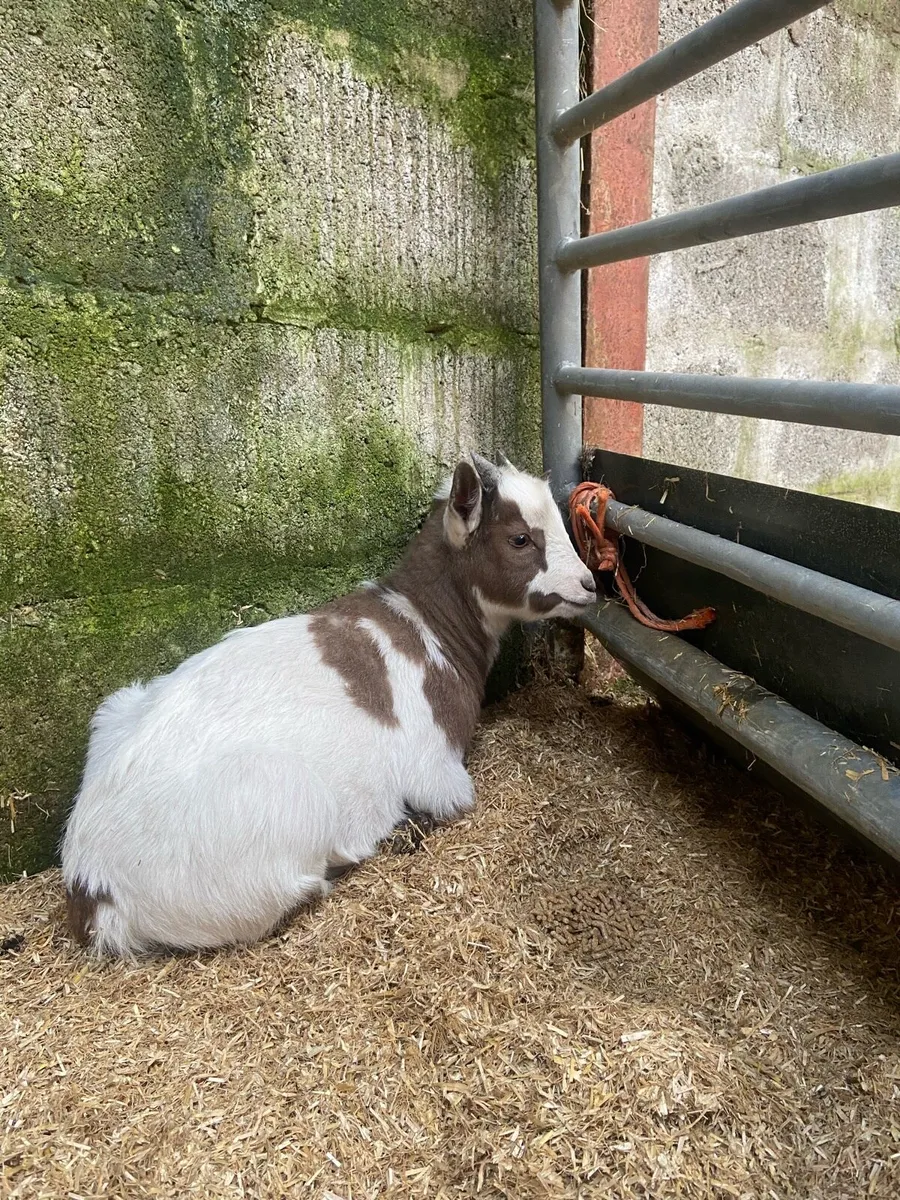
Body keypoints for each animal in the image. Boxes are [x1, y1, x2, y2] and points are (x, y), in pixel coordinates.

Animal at [61, 453, 597, 956]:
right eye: (520, 539)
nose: (590, 584)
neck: (423, 623)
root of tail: (94, 889)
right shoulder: (438, 773)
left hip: (118, 707)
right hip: (278, 812)